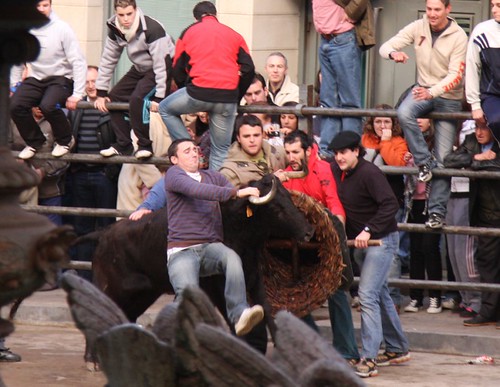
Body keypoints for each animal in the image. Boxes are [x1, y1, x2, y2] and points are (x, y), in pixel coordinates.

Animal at [88, 174, 314, 340]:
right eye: (276, 207)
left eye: (290, 200)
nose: (308, 232)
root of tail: (103, 233)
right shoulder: (216, 289)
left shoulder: (253, 278)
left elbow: (267, 314)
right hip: (112, 289)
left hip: (144, 293)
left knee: (126, 315)